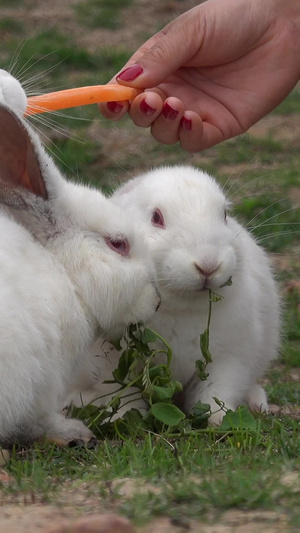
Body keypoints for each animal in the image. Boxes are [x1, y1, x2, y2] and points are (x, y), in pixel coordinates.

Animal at [0, 70, 159, 444]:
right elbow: (40, 417)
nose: (157, 301)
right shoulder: (41, 378)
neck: (60, 270)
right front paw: (72, 432)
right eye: (118, 244)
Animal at [105, 166, 278, 424]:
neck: (181, 306)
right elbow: (120, 395)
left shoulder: (229, 360)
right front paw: (124, 419)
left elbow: (217, 392)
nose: (208, 265)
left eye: (224, 215)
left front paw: (219, 419)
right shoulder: (113, 364)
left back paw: (257, 405)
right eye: (156, 218)